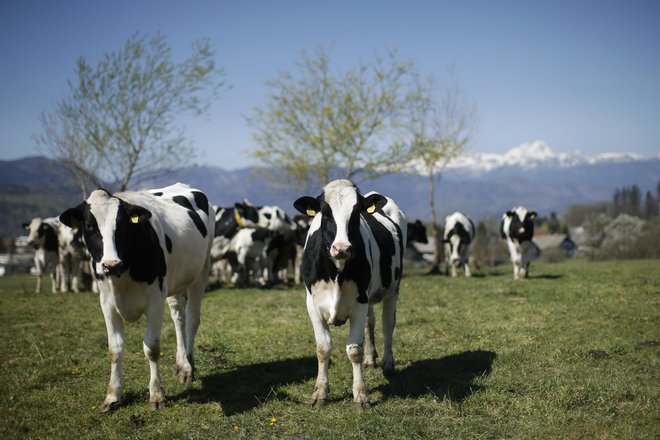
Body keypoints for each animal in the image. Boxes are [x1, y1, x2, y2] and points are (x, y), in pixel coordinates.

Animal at [58, 183, 214, 412]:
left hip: (201, 271)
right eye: (89, 226)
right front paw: (113, 396)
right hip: (175, 281)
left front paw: (157, 395)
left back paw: (188, 366)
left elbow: (152, 348)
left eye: (122, 225)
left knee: (192, 319)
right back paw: (181, 362)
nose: (110, 264)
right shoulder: (107, 303)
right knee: (179, 317)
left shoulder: (155, 300)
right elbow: (114, 349)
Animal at [296, 178, 408, 410]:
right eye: (325, 213)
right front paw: (320, 393)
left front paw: (361, 396)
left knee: (387, 323)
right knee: (370, 323)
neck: (337, 273)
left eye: (357, 213)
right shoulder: (312, 304)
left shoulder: (360, 302)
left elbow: (354, 350)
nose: (342, 248)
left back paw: (387, 363)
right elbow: (323, 348)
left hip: (393, 289)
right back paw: (370, 358)